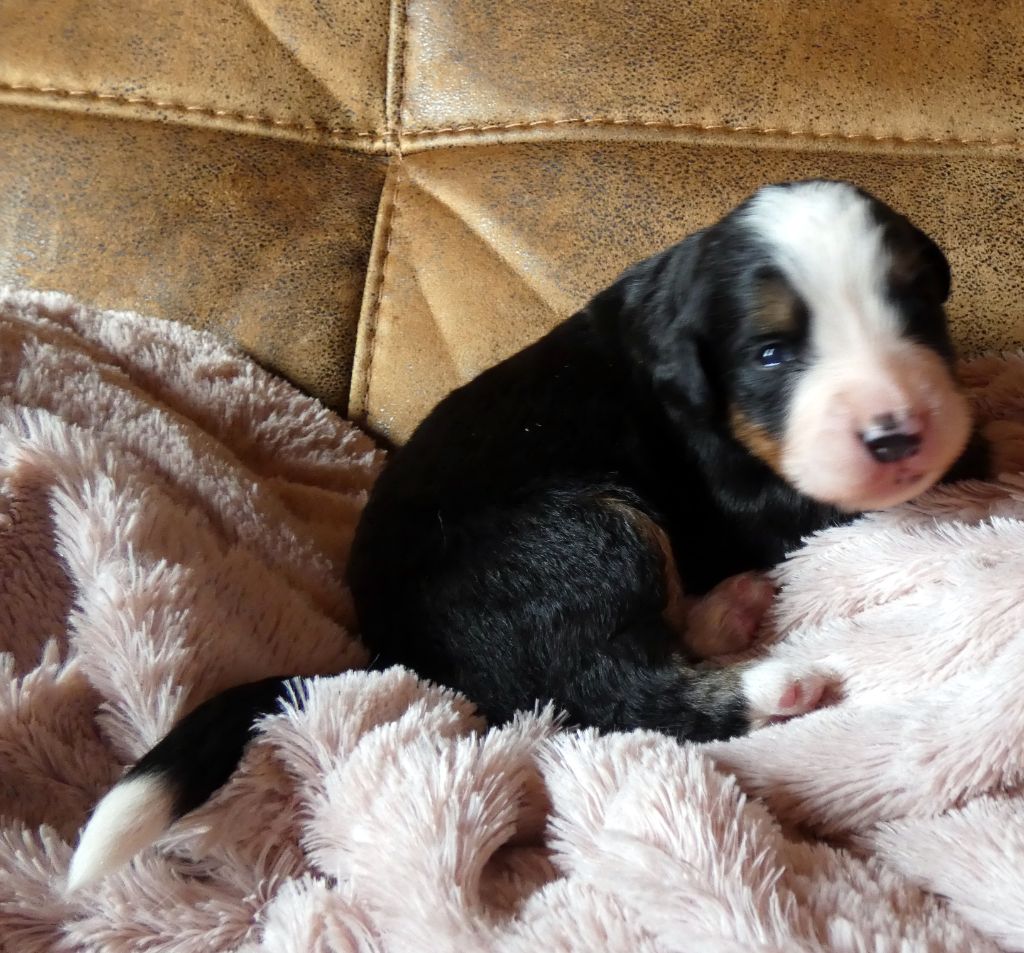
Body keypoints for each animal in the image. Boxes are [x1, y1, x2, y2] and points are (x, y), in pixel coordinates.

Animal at [66, 180, 987, 890]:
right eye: (770, 353)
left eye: (916, 309)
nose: (897, 434)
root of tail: (393, 652)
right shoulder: (752, 489)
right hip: (594, 531)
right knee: (615, 689)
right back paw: (775, 677)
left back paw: (729, 610)